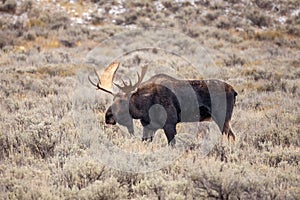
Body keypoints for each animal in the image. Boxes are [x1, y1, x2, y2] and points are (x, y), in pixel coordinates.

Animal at [88, 61, 238, 145]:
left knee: (231, 137)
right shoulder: (149, 126)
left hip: (223, 118)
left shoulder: (170, 124)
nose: (107, 116)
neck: (144, 107)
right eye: (113, 99)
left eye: (123, 100)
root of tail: (234, 91)